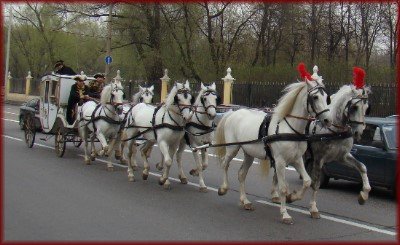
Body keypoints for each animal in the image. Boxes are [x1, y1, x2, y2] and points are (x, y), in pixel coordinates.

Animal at [216, 63, 332, 224]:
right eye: (315, 97)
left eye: (327, 97)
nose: (328, 120)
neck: (290, 128)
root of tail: (233, 112)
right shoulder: (280, 161)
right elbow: (283, 187)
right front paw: (285, 213)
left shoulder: (296, 160)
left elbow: (307, 181)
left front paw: (293, 197)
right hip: (233, 148)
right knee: (224, 164)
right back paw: (223, 188)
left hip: (249, 154)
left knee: (241, 174)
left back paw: (245, 201)